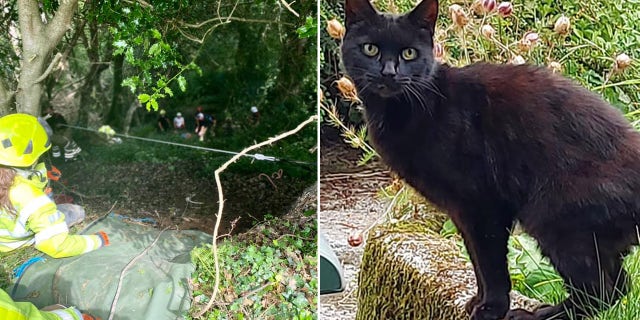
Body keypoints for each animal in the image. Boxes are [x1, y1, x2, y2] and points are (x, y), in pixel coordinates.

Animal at [342, 0, 636, 320]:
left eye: (409, 53)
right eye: (370, 49)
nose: (388, 72)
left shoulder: (482, 204)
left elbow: (490, 263)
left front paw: (492, 308)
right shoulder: (461, 211)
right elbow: (476, 260)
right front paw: (477, 301)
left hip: (555, 220)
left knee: (600, 290)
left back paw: (540, 314)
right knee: (620, 285)